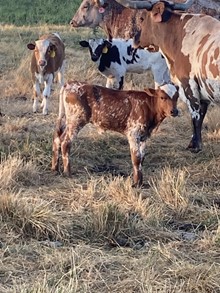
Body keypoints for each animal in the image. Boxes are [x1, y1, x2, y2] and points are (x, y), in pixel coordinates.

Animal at [51, 80, 179, 185]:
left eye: (177, 97)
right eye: (162, 97)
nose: (174, 111)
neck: (148, 106)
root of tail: (70, 83)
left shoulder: (144, 136)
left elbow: (142, 158)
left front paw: (141, 182)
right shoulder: (133, 134)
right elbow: (136, 158)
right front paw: (136, 183)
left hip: (66, 120)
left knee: (57, 138)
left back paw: (55, 169)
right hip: (76, 121)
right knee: (65, 142)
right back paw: (67, 172)